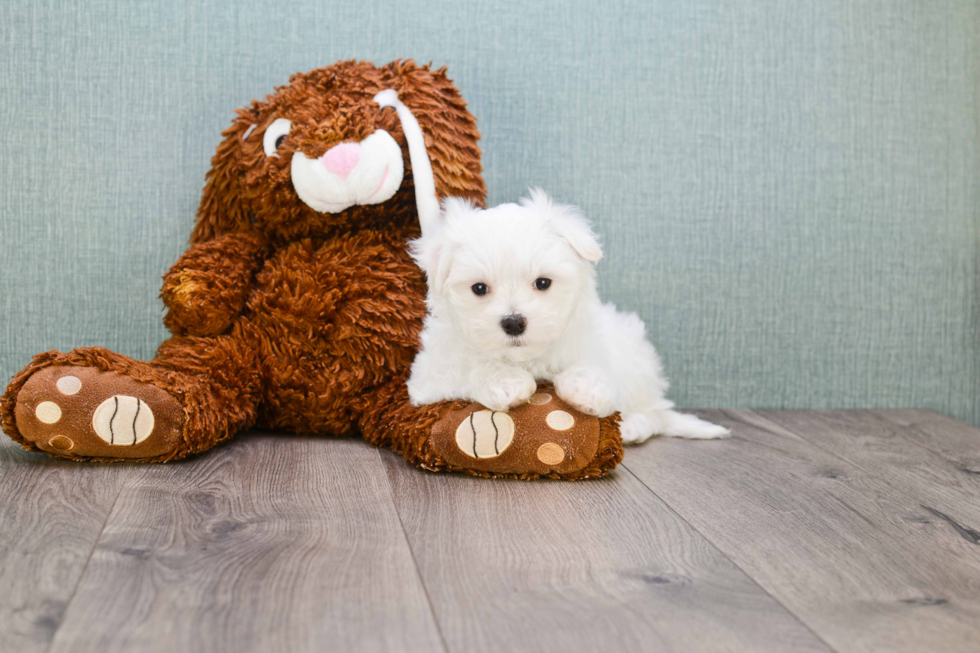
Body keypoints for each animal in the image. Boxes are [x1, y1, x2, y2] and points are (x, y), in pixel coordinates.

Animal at [406, 188, 728, 444]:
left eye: (542, 283)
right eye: (479, 288)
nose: (514, 322)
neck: (527, 358)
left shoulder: (592, 340)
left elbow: (592, 363)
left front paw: (587, 389)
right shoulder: (429, 374)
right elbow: (469, 364)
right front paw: (505, 382)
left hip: (636, 359)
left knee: (654, 414)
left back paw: (632, 426)